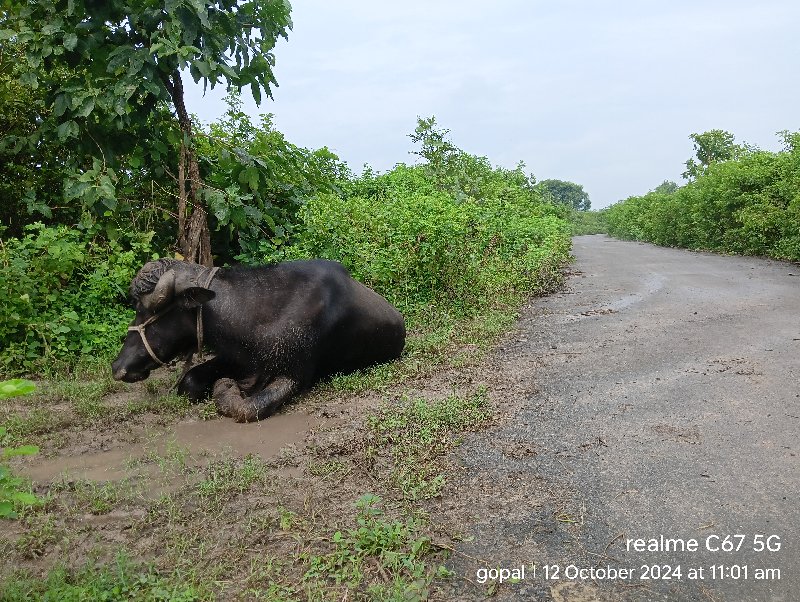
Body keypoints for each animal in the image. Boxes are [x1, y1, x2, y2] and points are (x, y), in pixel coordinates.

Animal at [111, 255, 406, 420]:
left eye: (144, 309)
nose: (118, 366)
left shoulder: (294, 376)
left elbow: (249, 407)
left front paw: (227, 388)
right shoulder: (235, 357)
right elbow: (190, 381)